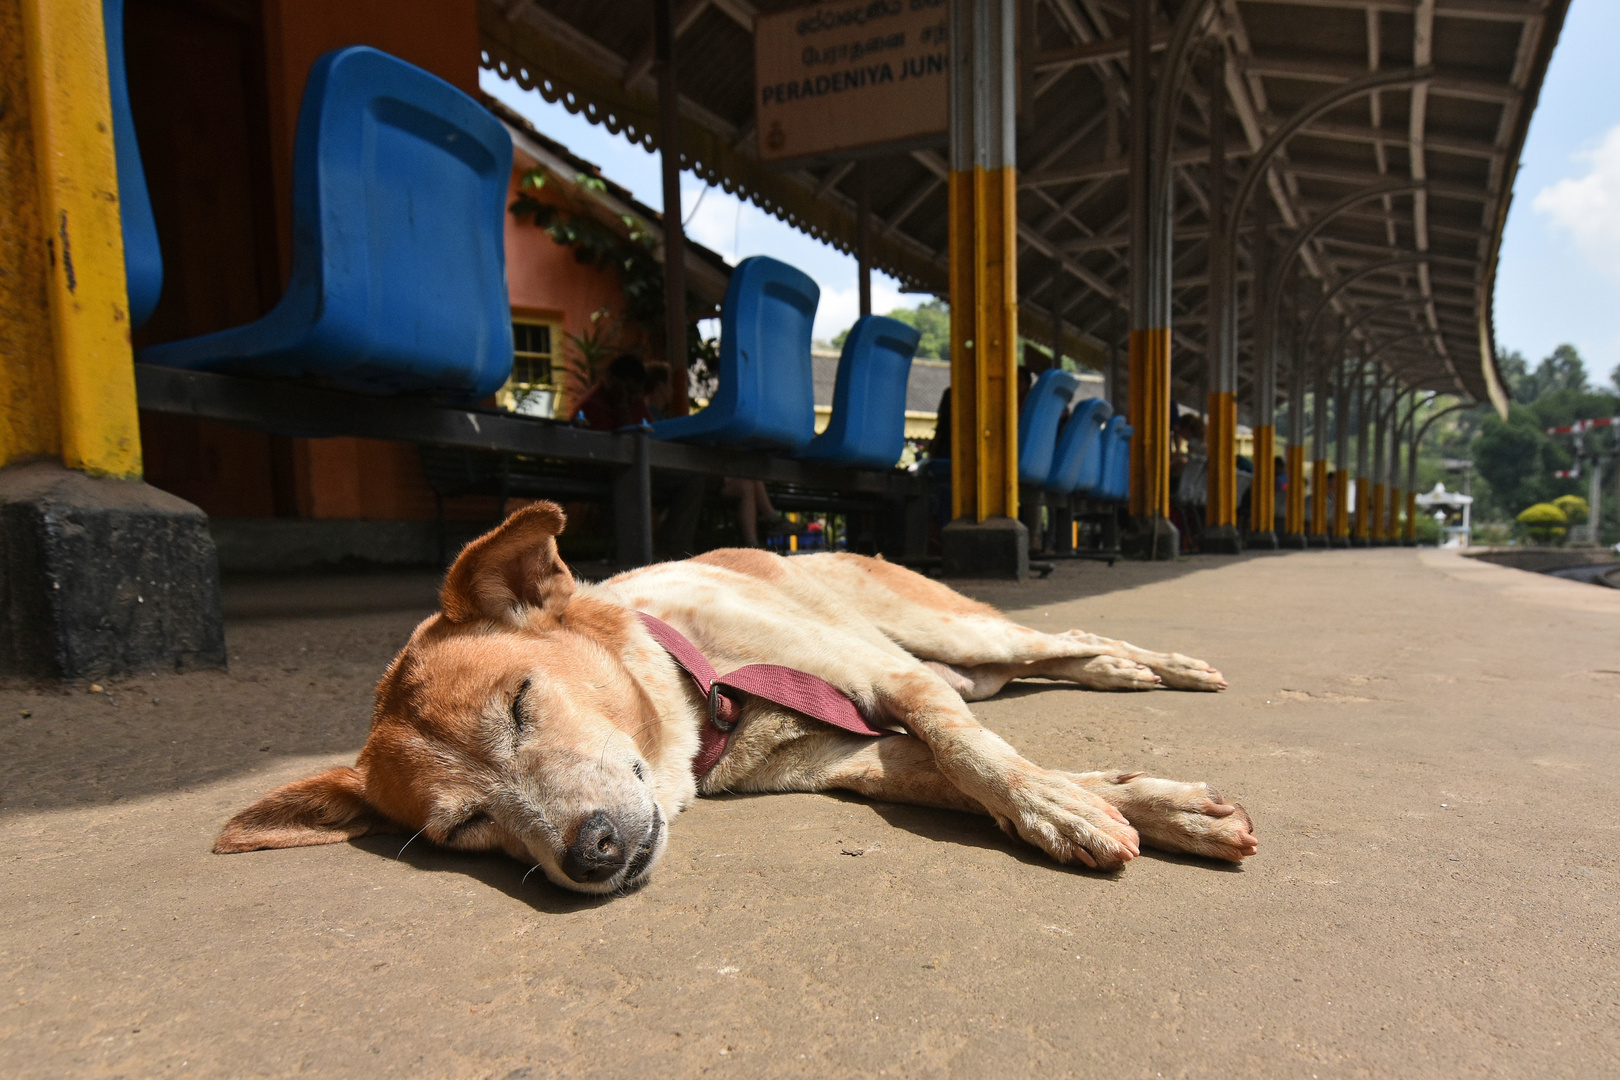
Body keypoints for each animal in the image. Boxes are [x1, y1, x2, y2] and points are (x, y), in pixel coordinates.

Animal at [218, 508, 1250, 893]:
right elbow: (955, 769)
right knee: (1040, 668)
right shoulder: (860, 754)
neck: (707, 694)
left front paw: (1057, 807)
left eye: (519, 702)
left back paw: (1162, 666)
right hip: (967, 664)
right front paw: (1140, 804)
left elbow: (979, 756)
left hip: (953, 637)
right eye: (463, 828)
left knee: (1065, 640)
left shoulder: (896, 683)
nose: (591, 854)